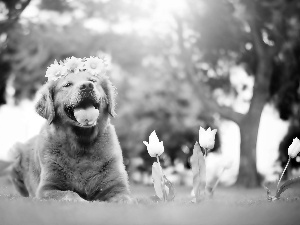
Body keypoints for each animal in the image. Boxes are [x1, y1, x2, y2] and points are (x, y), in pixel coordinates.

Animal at [0, 57, 134, 203]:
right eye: (67, 84)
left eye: (93, 81)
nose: (87, 86)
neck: (82, 143)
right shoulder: (47, 188)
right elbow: (70, 194)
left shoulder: (118, 187)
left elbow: (124, 199)